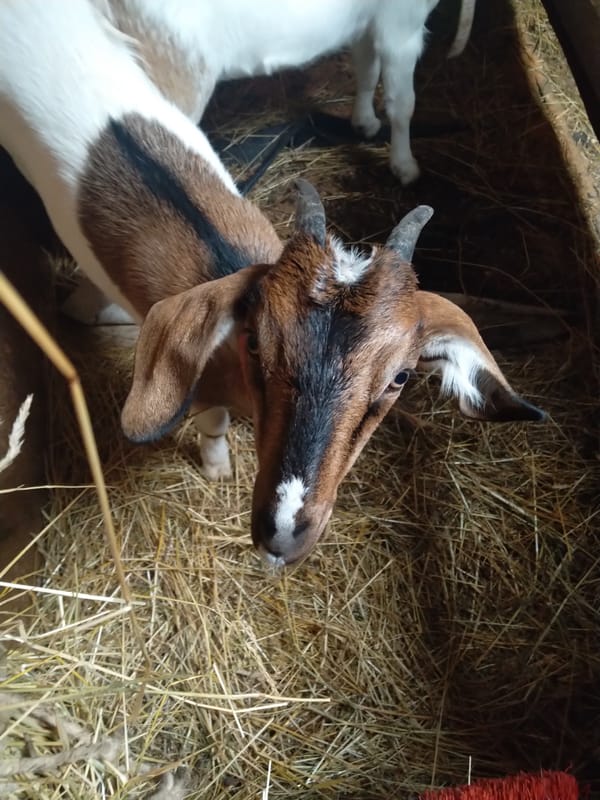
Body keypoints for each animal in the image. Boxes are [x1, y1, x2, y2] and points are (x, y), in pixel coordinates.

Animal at [104, 0, 476, 185]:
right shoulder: (401, 27)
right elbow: (403, 104)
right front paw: (405, 166)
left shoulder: (365, 23)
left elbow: (367, 70)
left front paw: (364, 123)